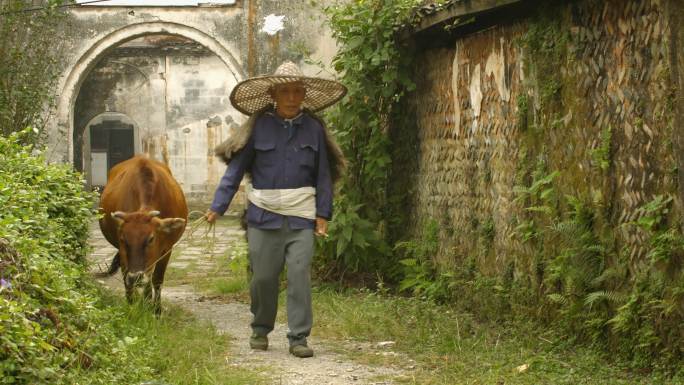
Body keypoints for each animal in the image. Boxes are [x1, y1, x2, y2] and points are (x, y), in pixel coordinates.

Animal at [98, 154, 187, 314]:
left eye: (151, 239)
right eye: (123, 239)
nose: (136, 277)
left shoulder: (167, 249)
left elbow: (157, 280)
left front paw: (156, 310)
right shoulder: (123, 253)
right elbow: (128, 282)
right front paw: (132, 308)